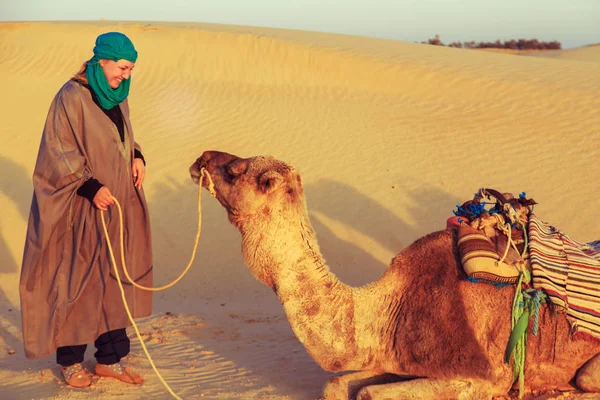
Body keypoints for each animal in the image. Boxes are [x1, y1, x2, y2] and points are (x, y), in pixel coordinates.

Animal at [190, 151, 600, 400]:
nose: (201, 158)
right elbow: (336, 384)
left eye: (235, 170)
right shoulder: (391, 360)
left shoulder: (482, 374)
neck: (388, 309)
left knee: (583, 381)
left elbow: (368, 393)